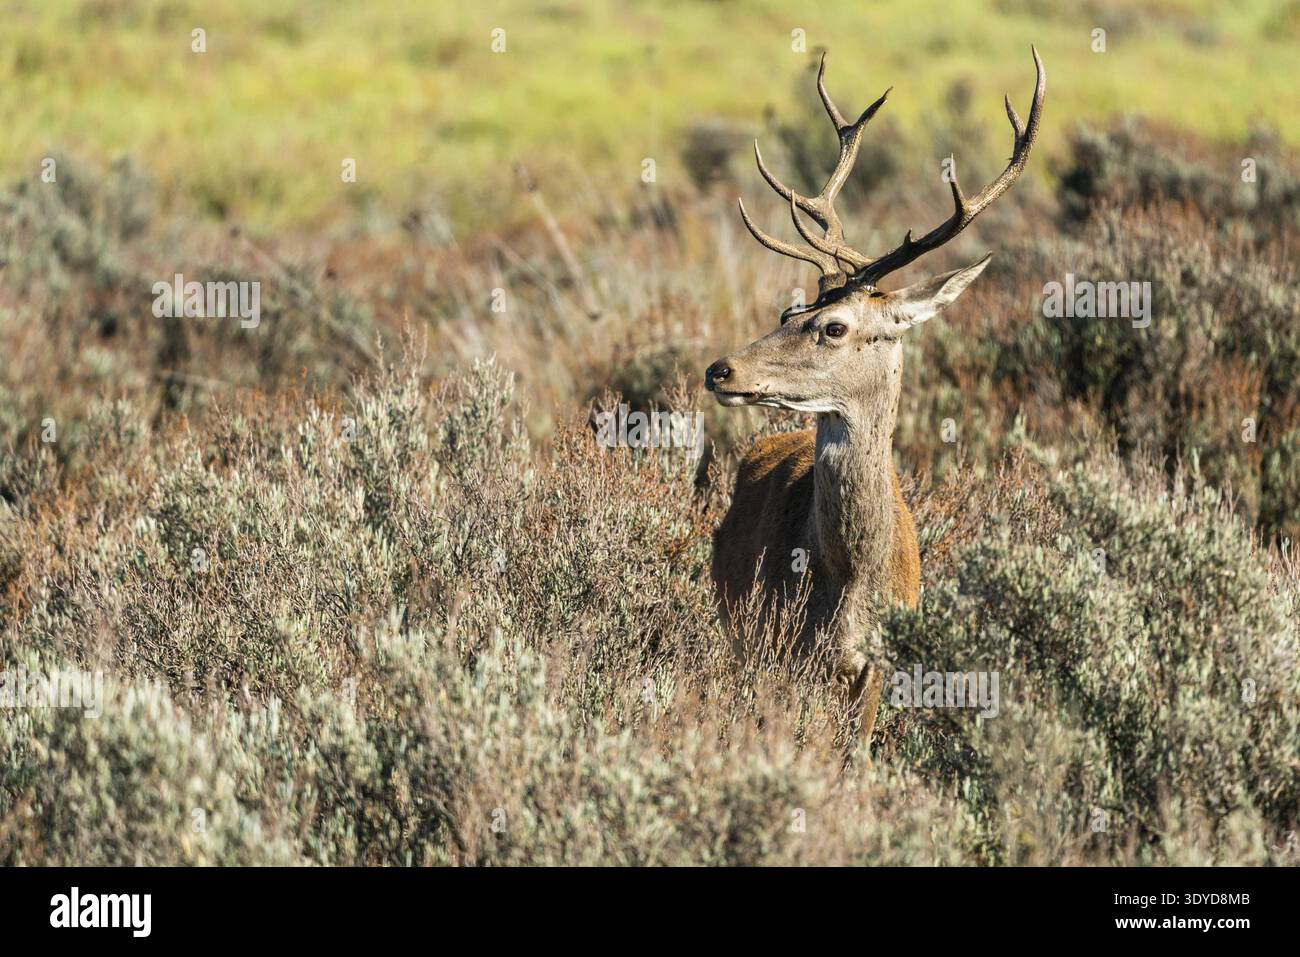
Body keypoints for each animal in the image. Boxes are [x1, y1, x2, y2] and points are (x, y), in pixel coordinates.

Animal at [706, 48, 1045, 749]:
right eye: (787, 310)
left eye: (833, 327)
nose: (720, 370)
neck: (849, 586)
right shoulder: (779, 645)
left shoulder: (878, 666)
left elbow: (856, 756)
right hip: (736, 626)